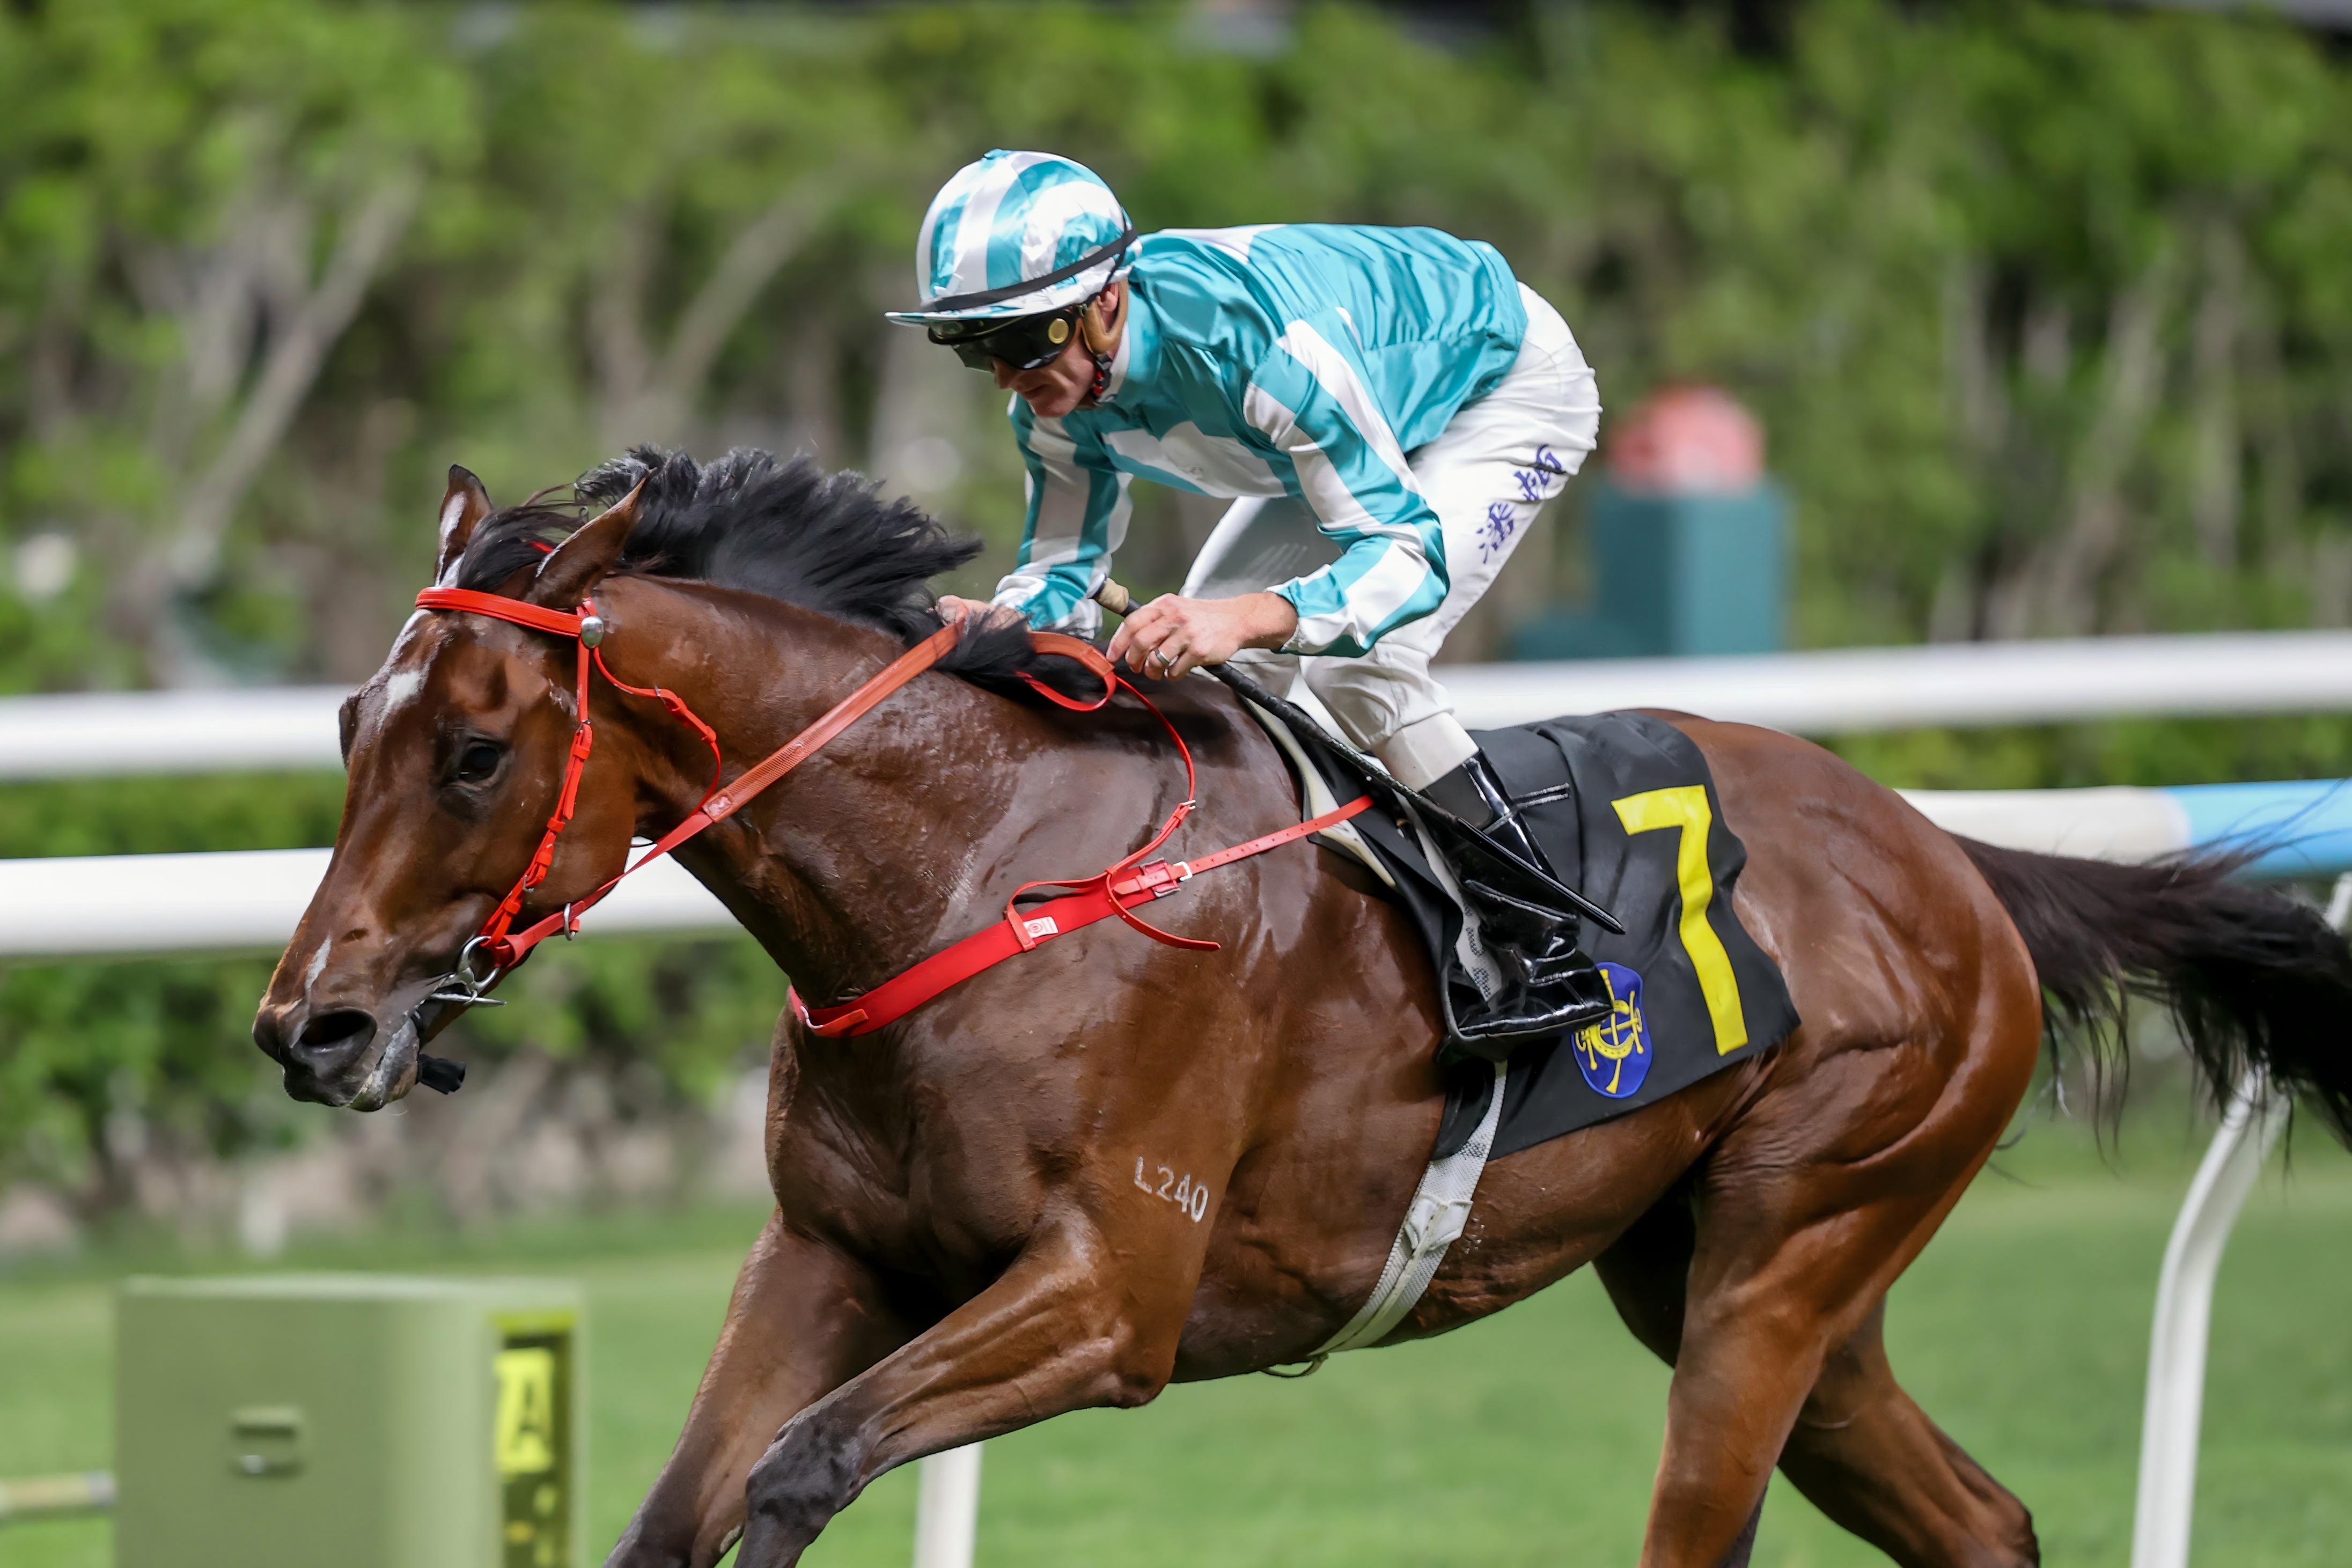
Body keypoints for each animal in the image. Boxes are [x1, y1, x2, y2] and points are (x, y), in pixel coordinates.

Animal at [254, 447, 2352, 1568]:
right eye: (350, 719)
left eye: (474, 747)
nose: (312, 1027)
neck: (974, 868)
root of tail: (1956, 860)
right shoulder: (834, 1254)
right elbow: (684, 1513)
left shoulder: (1113, 1292)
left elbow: (803, 1467)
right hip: (1740, 1277)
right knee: (1980, 1519)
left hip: (1791, 1244)